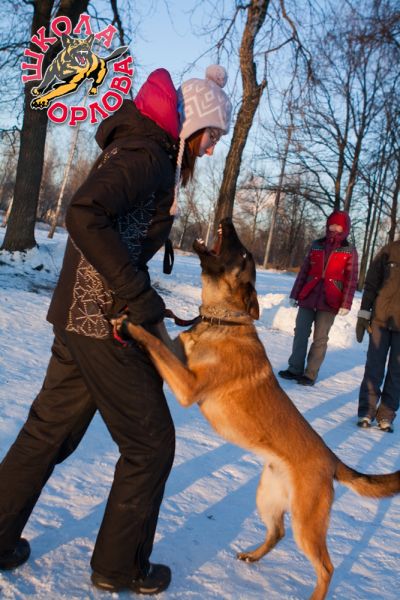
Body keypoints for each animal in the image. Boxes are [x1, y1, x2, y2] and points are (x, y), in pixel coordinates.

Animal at [122, 218, 400, 600]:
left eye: (243, 255)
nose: (226, 220)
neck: (223, 321)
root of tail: (332, 460)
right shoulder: (180, 360)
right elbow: (162, 334)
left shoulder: (187, 386)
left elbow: (154, 342)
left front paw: (131, 325)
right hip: (267, 498)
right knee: (277, 533)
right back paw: (253, 555)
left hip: (306, 524)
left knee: (326, 567)